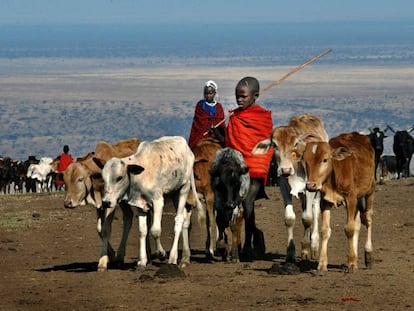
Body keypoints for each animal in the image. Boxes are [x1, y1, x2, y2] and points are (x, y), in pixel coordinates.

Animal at [63, 138, 140, 272]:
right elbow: (99, 229)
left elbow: (106, 229)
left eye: (80, 179)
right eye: (65, 180)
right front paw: (112, 256)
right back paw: (120, 256)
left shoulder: (111, 204)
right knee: (128, 217)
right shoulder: (99, 206)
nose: (68, 203)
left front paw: (103, 262)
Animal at [99, 136, 205, 270]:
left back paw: (173, 257)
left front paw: (161, 253)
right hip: (174, 194)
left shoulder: (158, 201)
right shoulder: (140, 205)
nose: (106, 202)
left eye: (119, 178)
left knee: (179, 220)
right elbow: (142, 231)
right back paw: (185, 258)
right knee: (186, 220)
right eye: (104, 178)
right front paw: (142, 261)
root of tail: (187, 148)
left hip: (183, 189)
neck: (142, 174)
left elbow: (155, 230)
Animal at [304, 133, 376, 274]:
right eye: (305, 160)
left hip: (370, 190)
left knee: (368, 219)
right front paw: (322, 264)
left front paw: (351, 264)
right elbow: (325, 231)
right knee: (358, 224)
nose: (311, 185)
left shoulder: (351, 198)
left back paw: (368, 255)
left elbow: (349, 229)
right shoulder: (325, 202)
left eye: (325, 159)